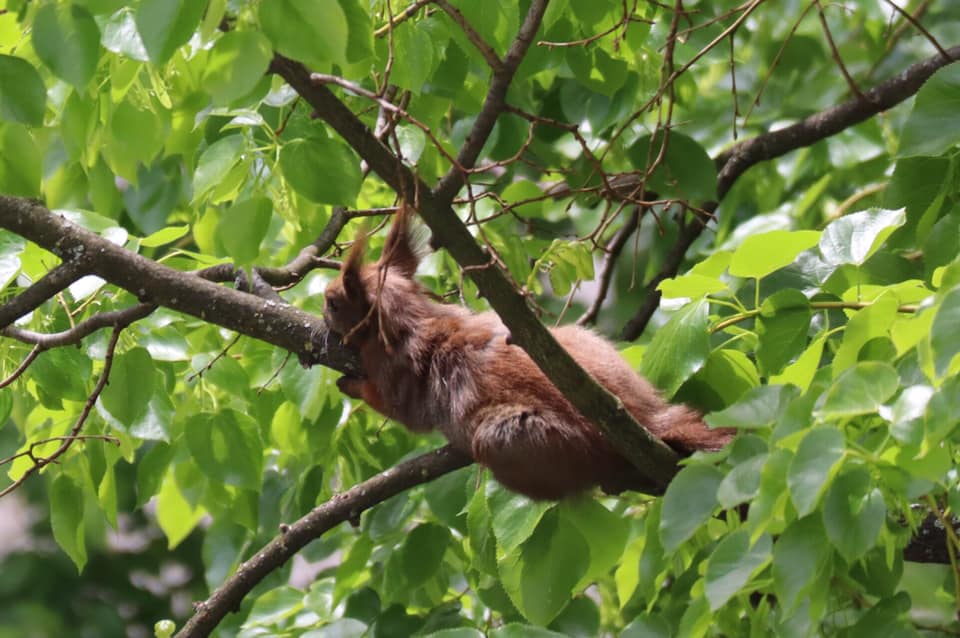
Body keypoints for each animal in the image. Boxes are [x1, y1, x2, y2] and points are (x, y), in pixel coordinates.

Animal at [322, 208, 736, 502]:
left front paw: (352, 385)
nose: (323, 308)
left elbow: (395, 407)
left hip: (509, 439)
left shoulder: (397, 372)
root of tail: (647, 419)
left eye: (333, 302)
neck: (415, 319)